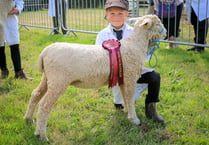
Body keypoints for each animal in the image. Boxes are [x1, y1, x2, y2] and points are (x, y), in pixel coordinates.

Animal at [23, 14, 166, 142]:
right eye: (158, 23)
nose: (165, 33)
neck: (135, 44)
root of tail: (44, 52)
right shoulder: (130, 77)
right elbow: (130, 99)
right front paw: (134, 119)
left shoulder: (123, 78)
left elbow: (125, 97)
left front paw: (127, 113)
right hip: (58, 80)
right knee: (44, 105)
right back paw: (42, 135)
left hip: (48, 78)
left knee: (35, 94)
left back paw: (28, 119)